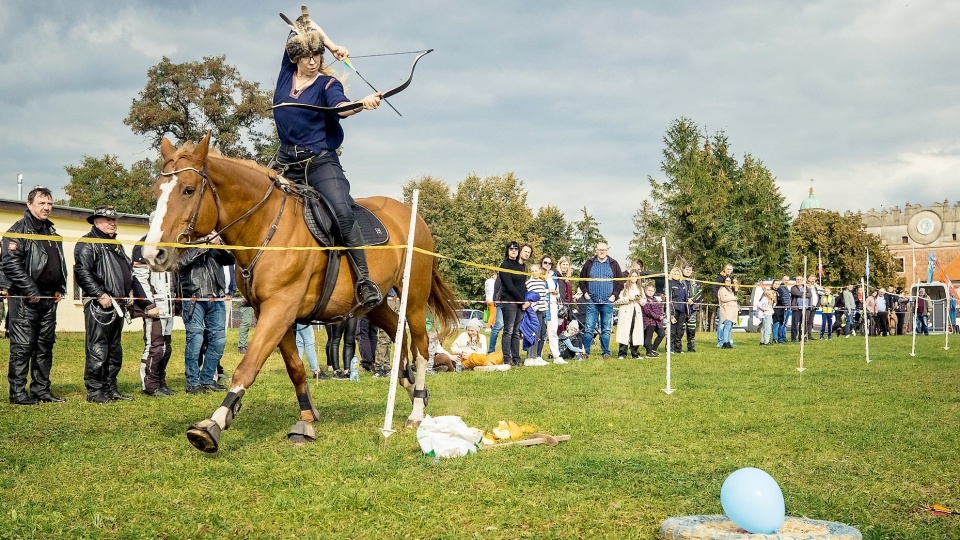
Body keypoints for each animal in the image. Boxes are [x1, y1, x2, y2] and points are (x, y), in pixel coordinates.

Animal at [141, 134, 460, 452]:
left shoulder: (279, 309)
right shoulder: (275, 314)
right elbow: (296, 368)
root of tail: (412, 216)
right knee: (399, 334)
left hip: (414, 298)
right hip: (375, 304)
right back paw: (409, 386)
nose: (152, 254)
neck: (267, 227)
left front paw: (214, 424)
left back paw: (416, 409)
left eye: (188, 190)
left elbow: (248, 366)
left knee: (420, 347)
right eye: (157, 191)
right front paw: (306, 420)